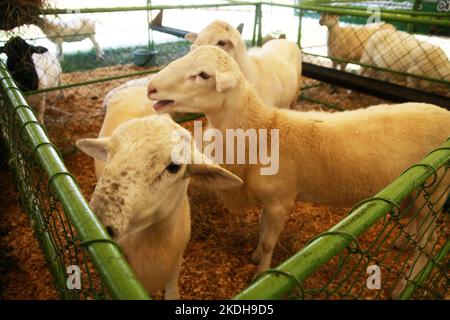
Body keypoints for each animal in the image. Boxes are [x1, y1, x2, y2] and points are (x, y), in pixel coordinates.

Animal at [148, 44, 450, 298]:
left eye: (203, 75)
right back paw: (402, 242)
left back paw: (404, 284)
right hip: (417, 188)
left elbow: (269, 241)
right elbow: (261, 228)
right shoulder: (269, 200)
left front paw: (260, 273)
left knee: (430, 240)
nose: (151, 88)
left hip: (436, 190)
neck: (262, 130)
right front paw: (255, 255)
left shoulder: (281, 201)